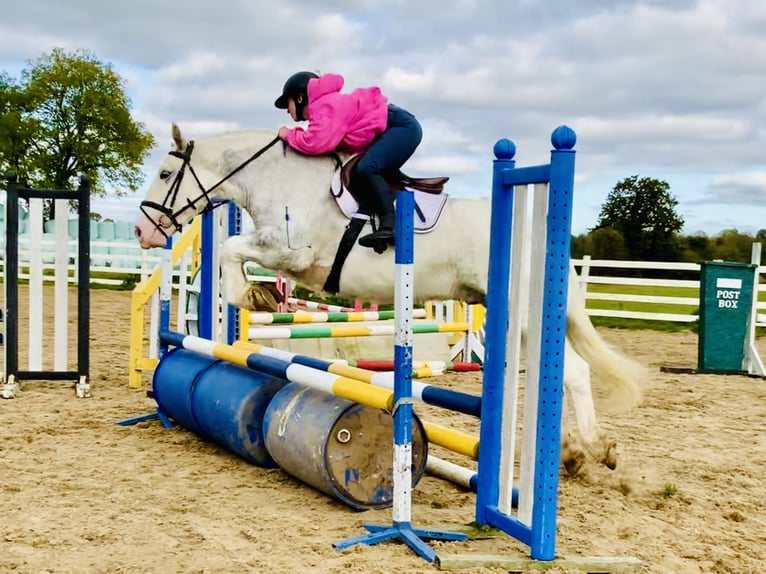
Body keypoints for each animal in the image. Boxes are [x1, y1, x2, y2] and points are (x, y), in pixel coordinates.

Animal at [134, 124, 648, 474]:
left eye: (165, 173)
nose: (142, 231)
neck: (277, 178)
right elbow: (230, 254)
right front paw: (260, 294)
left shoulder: (294, 253)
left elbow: (229, 250)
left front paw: (252, 294)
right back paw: (576, 452)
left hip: (523, 314)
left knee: (575, 373)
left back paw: (591, 450)